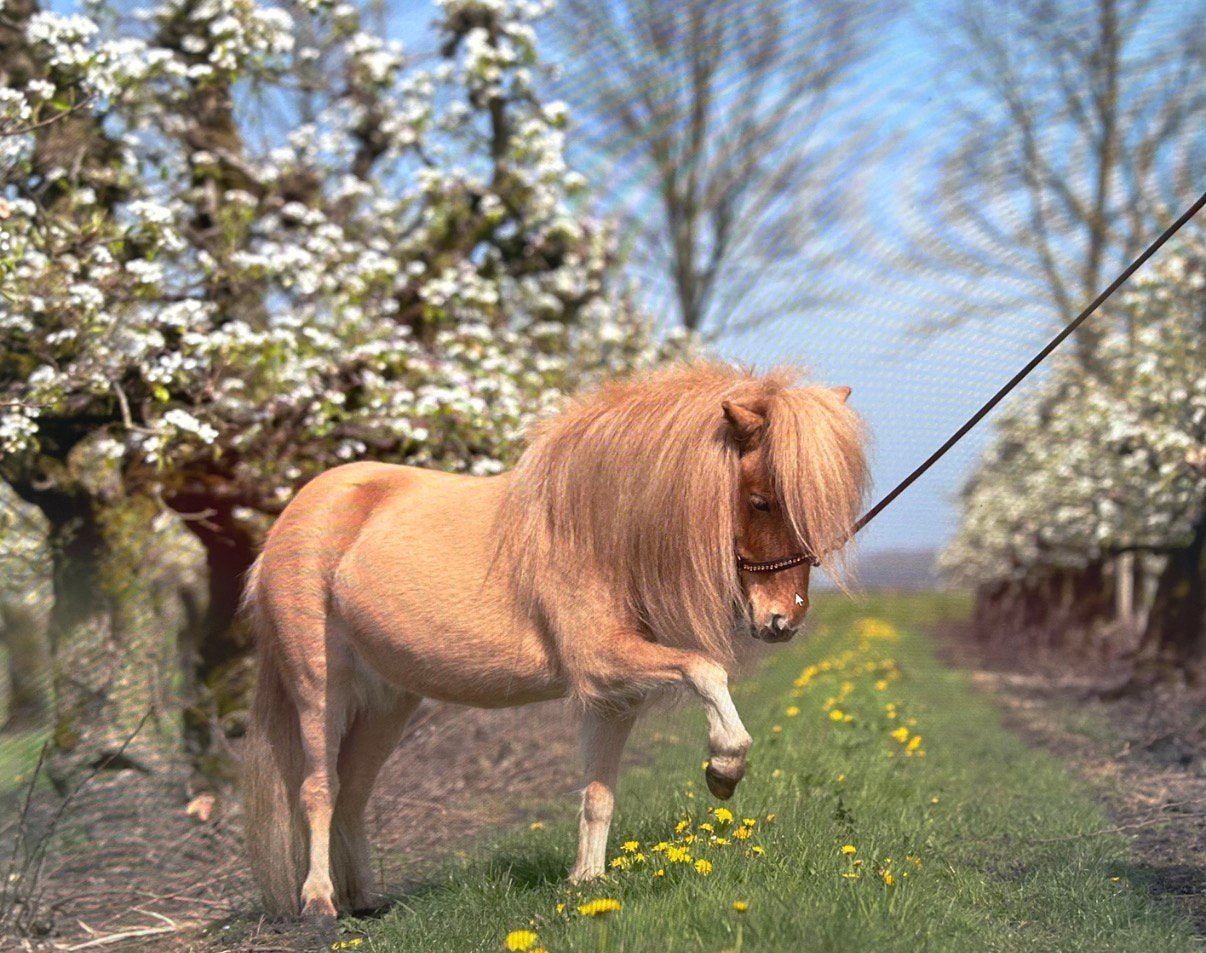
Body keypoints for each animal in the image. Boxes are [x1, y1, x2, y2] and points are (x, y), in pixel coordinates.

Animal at [241, 361, 869, 917]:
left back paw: (365, 901)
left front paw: (585, 883)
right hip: (319, 687)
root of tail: (300, 510)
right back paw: (319, 903)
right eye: (761, 500)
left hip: (389, 702)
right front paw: (722, 771)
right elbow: (707, 670)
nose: (782, 622)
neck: (595, 525)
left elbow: (599, 793)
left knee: (353, 791)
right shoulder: (603, 664)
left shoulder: (616, 695)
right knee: (319, 789)